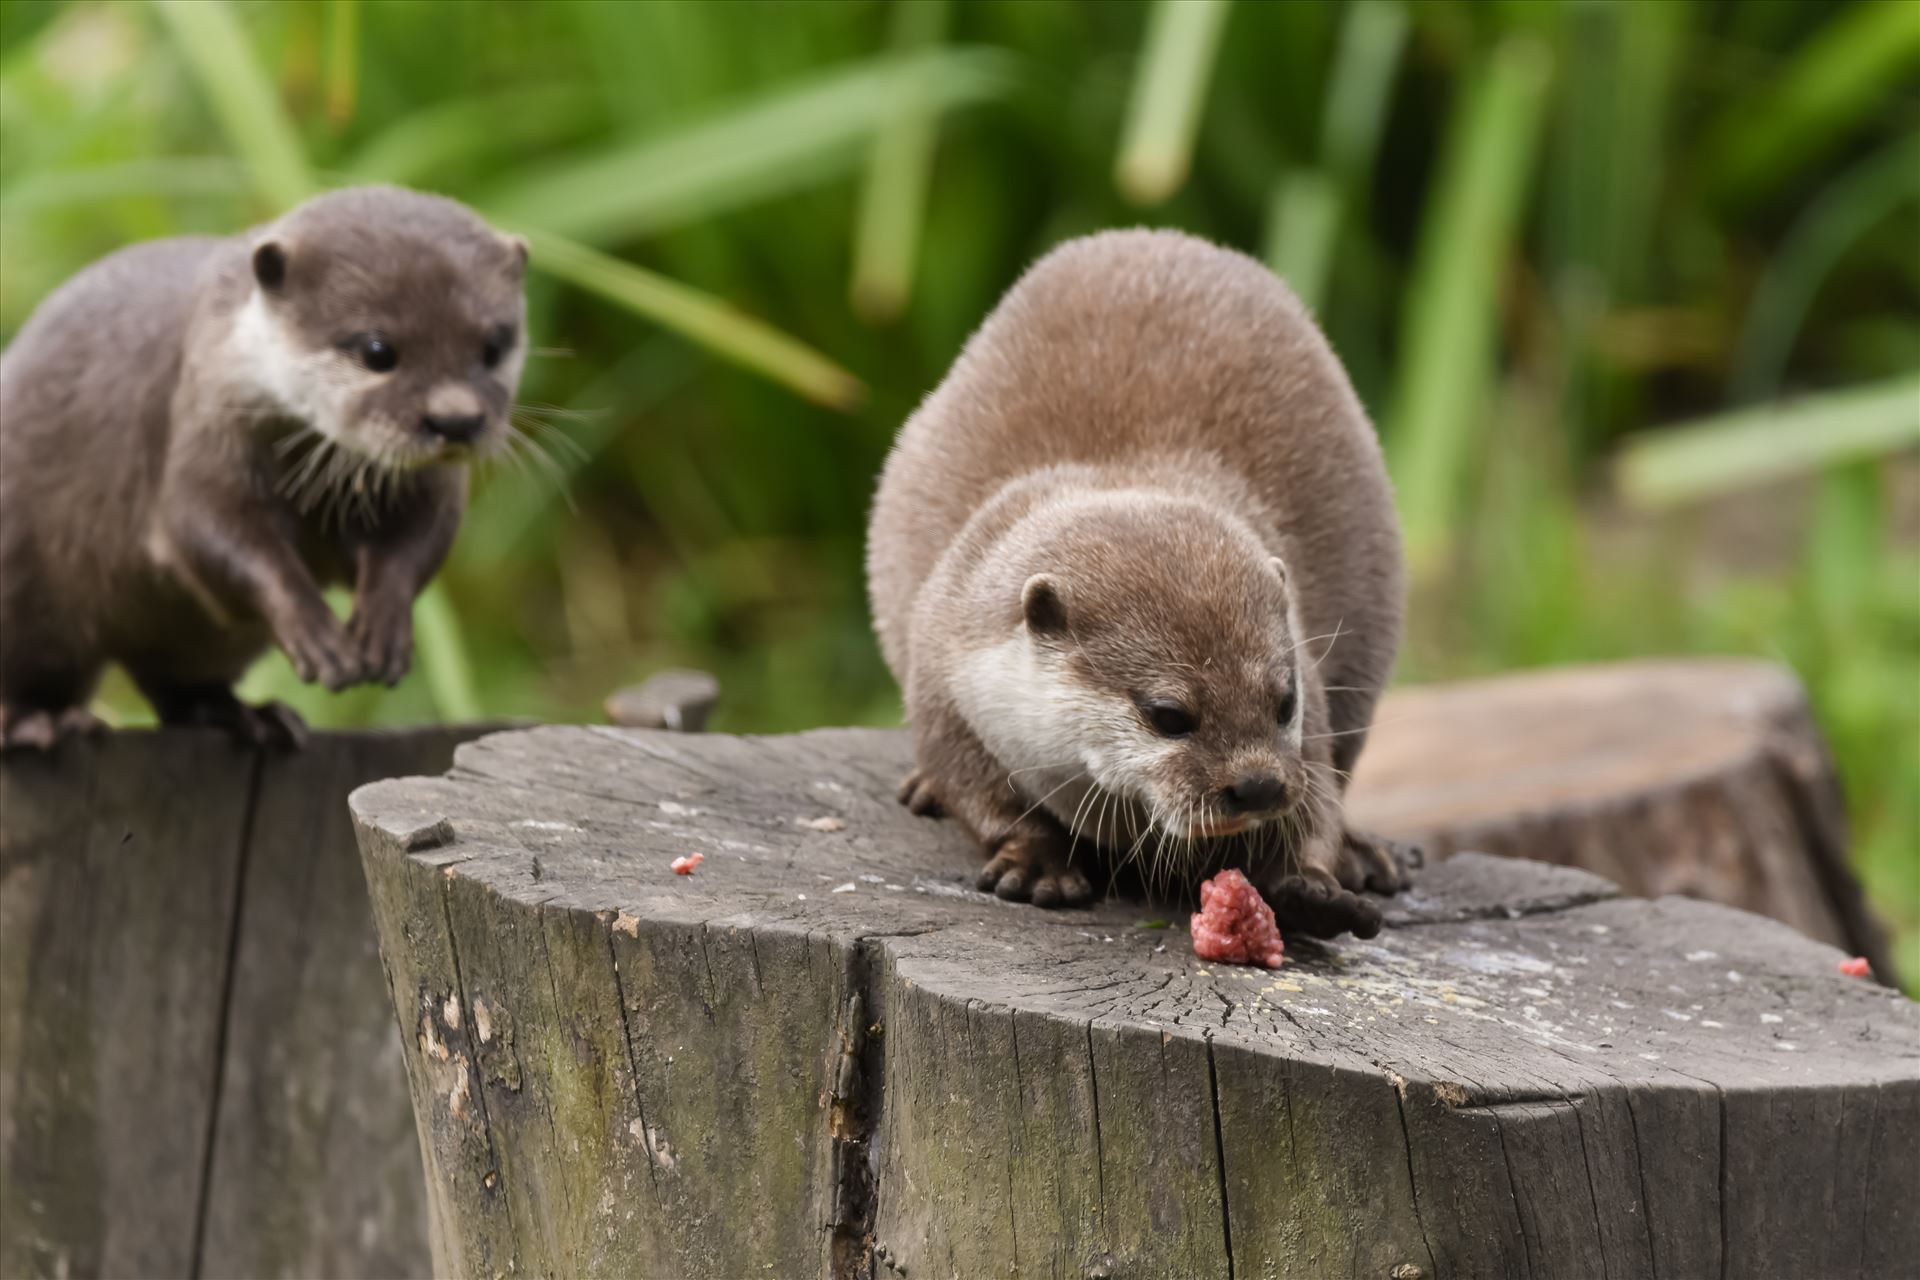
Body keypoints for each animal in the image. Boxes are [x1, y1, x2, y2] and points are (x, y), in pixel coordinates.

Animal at [1, 184, 526, 744]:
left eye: (494, 345)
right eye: (378, 350)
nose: (456, 419)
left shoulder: (431, 488)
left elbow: (419, 540)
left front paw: (382, 626)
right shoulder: (204, 432)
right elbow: (207, 526)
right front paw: (318, 634)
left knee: (174, 680)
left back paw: (244, 714)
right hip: (28, 584)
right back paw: (42, 721)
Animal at [871, 227, 1413, 940]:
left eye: (1284, 702)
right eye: (1168, 715)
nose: (1259, 786)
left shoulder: (1314, 696)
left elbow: (1317, 793)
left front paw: (1313, 887)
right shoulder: (942, 672)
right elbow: (980, 792)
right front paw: (1036, 863)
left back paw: (1365, 855)